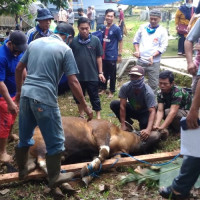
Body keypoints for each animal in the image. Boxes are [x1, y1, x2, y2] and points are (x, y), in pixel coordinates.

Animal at [26, 117, 167, 186]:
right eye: (144, 130)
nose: (162, 131)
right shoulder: (101, 131)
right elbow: (104, 152)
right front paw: (86, 170)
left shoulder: (115, 153)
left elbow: (108, 158)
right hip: (44, 145)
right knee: (43, 162)